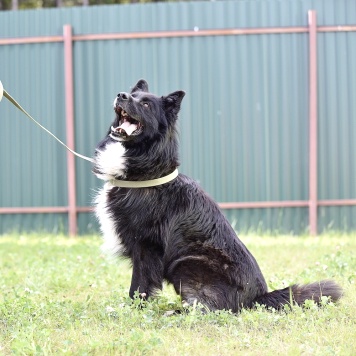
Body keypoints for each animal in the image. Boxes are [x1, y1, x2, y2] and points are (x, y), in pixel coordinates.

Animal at [92, 78, 342, 312]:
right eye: (132, 95)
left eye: (145, 104)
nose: (121, 95)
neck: (147, 172)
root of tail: (257, 298)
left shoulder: (146, 247)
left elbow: (139, 288)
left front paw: (133, 311)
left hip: (186, 264)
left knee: (208, 309)